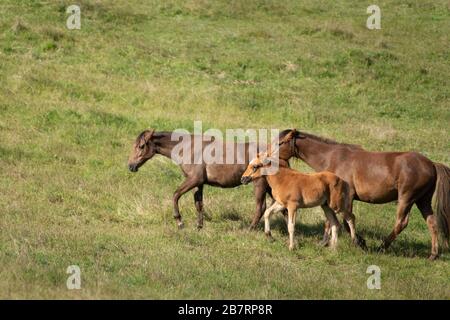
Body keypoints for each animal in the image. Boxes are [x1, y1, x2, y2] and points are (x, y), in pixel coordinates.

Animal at [128, 130, 272, 230]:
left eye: (141, 146)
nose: (131, 166)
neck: (187, 148)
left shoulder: (194, 179)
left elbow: (175, 195)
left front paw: (179, 221)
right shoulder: (199, 184)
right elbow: (199, 204)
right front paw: (199, 226)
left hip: (259, 184)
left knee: (260, 207)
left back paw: (250, 228)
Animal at [274, 129, 450, 258]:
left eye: (280, 142)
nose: (270, 156)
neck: (332, 158)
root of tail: (432, 164)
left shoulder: (346, 197)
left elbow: (345, 221)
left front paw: (360, 242)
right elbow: (330, 221)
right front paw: (324, 242)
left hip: (406, 198)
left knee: (401, 222)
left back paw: (382, 247)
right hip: (423, 201)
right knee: (432, 222)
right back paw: (433, 254)